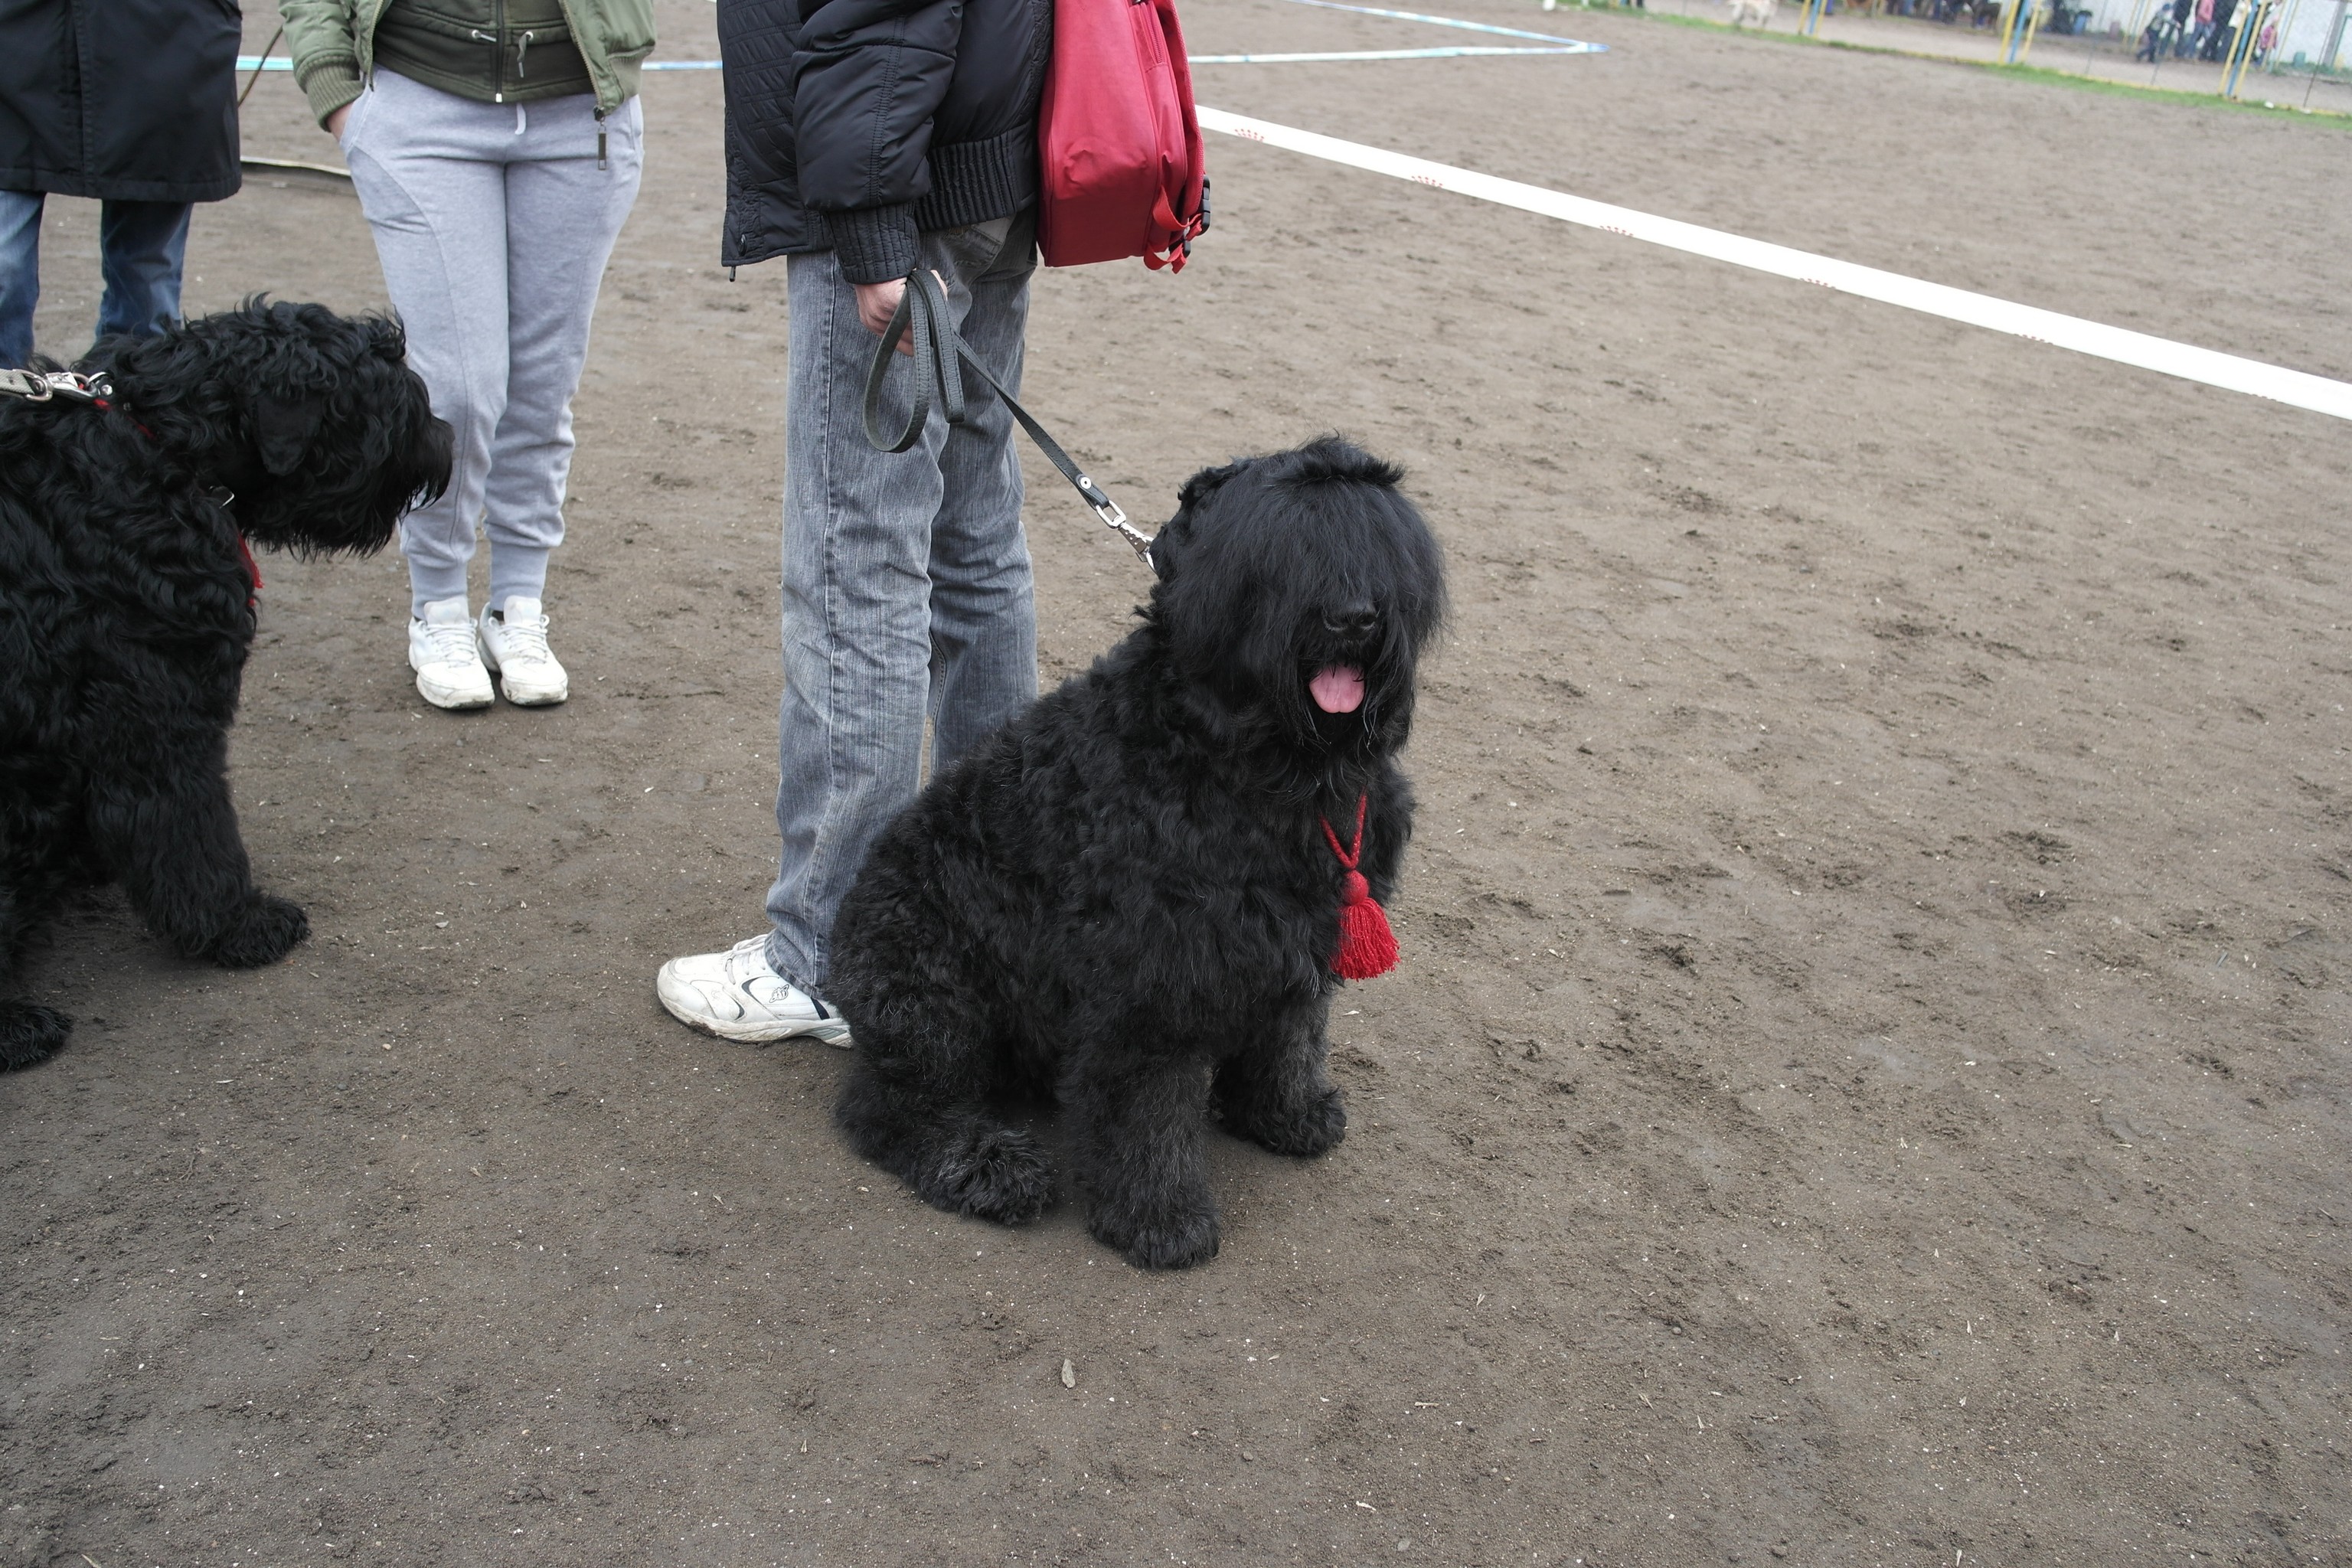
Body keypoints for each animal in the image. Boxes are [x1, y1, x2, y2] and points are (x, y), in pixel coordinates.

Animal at [0, 301, 451, 1070]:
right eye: (387, 398)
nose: (448, 442)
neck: (161, 451)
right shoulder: (159, 718)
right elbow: (194, 834)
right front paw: (240, 927)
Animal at [828, 437, 1446, 1269]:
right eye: (1273, 545)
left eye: (1381, 537)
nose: (1353, 616)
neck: (1246, 762)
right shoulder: (1153, 977)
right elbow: (1148, 1109)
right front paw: (1160, 1217)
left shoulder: (1303, 934)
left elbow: (1292, 1034)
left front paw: (1287, 1114)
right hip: (934, 1002)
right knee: (888, 1110)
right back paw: (991, 1166)